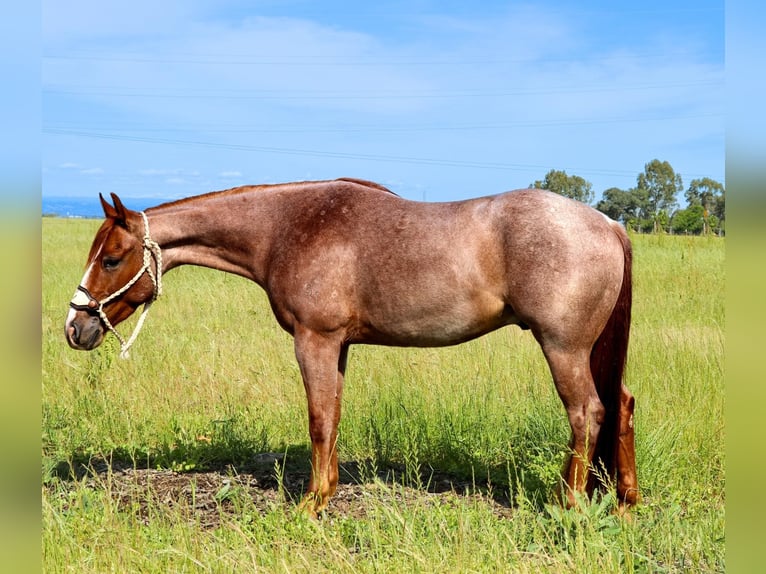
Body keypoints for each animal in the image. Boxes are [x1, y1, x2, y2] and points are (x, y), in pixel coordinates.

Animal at [66, 178, 640, 516]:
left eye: (112, 258)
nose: (75, 328)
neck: (285, 227)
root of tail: (609, 223)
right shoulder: (338, 345)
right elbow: (335, 413)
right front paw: (330, 490)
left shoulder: (313, 340)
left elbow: (319, 418)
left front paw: (310, 504)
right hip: (591, 350)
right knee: (621, 406)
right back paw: (624, 502)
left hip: (563, 347)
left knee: (587, 413)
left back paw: (568, 504)